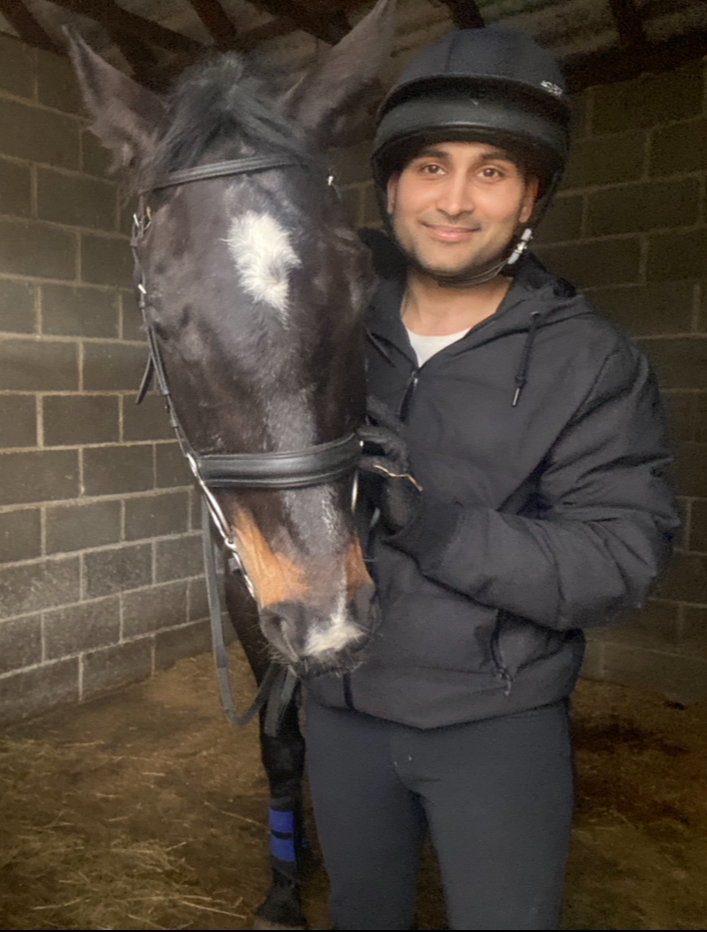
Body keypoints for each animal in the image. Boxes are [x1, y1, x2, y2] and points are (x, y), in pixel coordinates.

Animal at [66, 2, 396, 927]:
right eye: (162, 317)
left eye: (361, 284)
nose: (333, 619)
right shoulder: (258, 591)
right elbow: (280, 737)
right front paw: (287, 880)